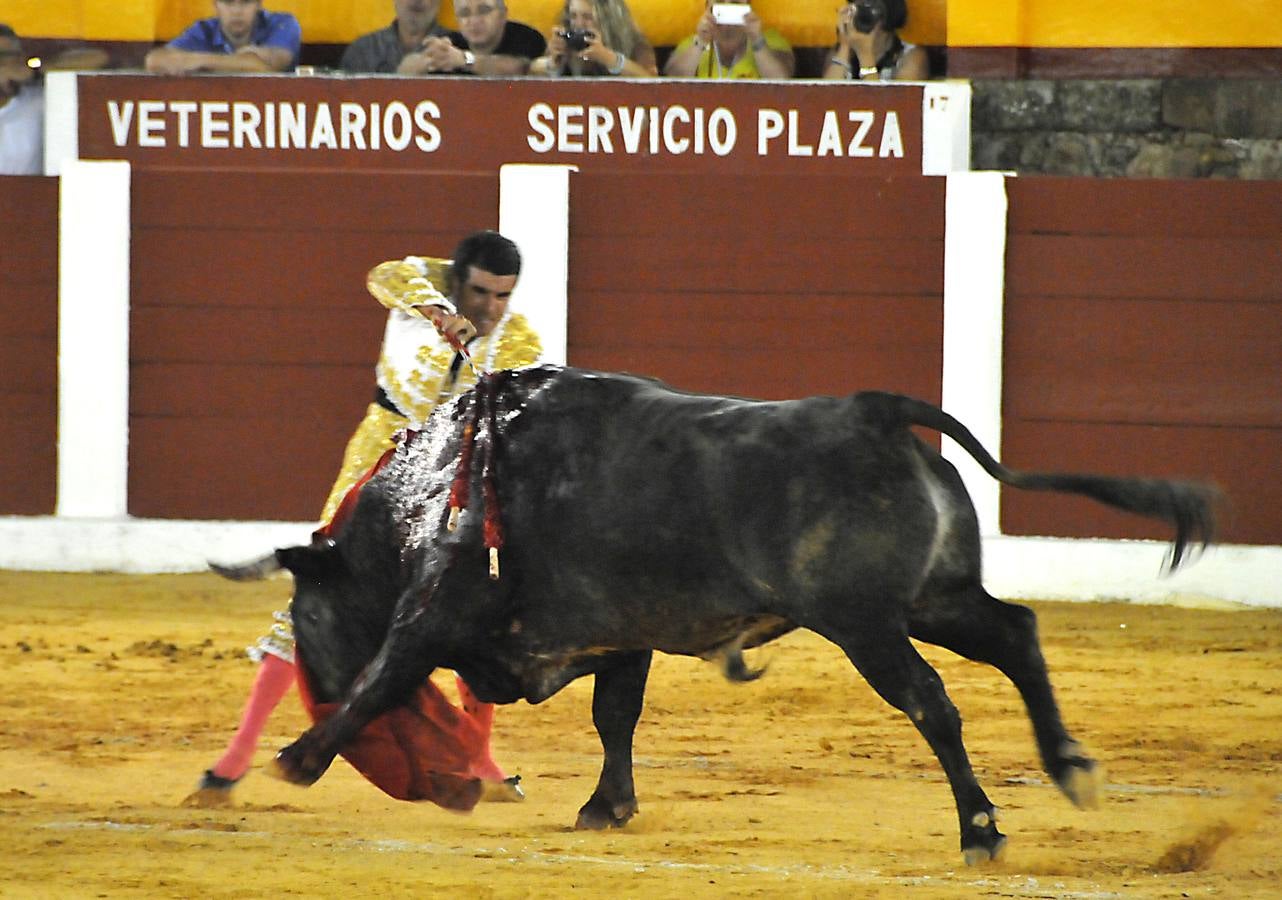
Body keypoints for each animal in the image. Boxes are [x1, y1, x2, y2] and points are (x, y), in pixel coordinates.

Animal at [225, 366, 1215, 866]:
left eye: (305, 614)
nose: (308, 685)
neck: (429, 494)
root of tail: (872, 413)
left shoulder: (434, 611)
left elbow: (381, 680)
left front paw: (286, 764)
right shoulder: (620, 637)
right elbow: (615, 717)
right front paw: (606, 807)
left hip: (864, 622)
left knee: (932, 702)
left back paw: (980, 830)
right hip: (935, 599)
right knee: (1015, 632)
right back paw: (1069, 768)